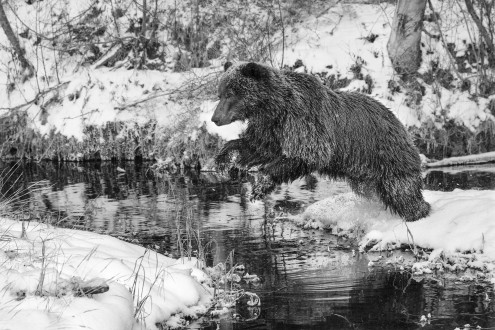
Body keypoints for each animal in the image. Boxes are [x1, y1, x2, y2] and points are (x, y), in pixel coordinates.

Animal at [212, 62, 430, 222]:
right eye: (220, 93)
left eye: (230, 93)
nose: (215, 118)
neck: (273, 109)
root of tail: (403, 127)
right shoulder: (271, 130)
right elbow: (255, 147)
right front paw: (223, 159)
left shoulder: (303, 122)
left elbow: (308, 154)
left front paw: (259, 186)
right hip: (364, 173)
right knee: (373, 191)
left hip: (387, 157)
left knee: (402, 193)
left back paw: (419, 213)